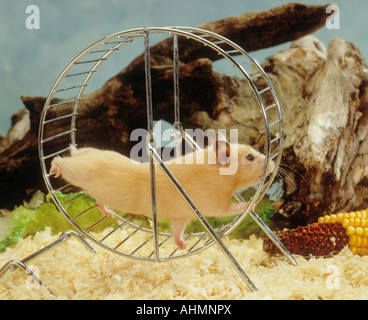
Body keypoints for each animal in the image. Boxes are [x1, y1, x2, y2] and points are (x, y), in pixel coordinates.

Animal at [49, 132, 274, 250]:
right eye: (250, 157)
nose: (272, 165)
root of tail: (80, 154)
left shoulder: (182, 216)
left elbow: (178, 231)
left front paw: (182, 245)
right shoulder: (213, 203)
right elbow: (232, 208)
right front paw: (250, 203)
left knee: (98, 201)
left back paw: (108, 213)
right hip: (78, 171)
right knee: (60, 160)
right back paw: (53, 169)